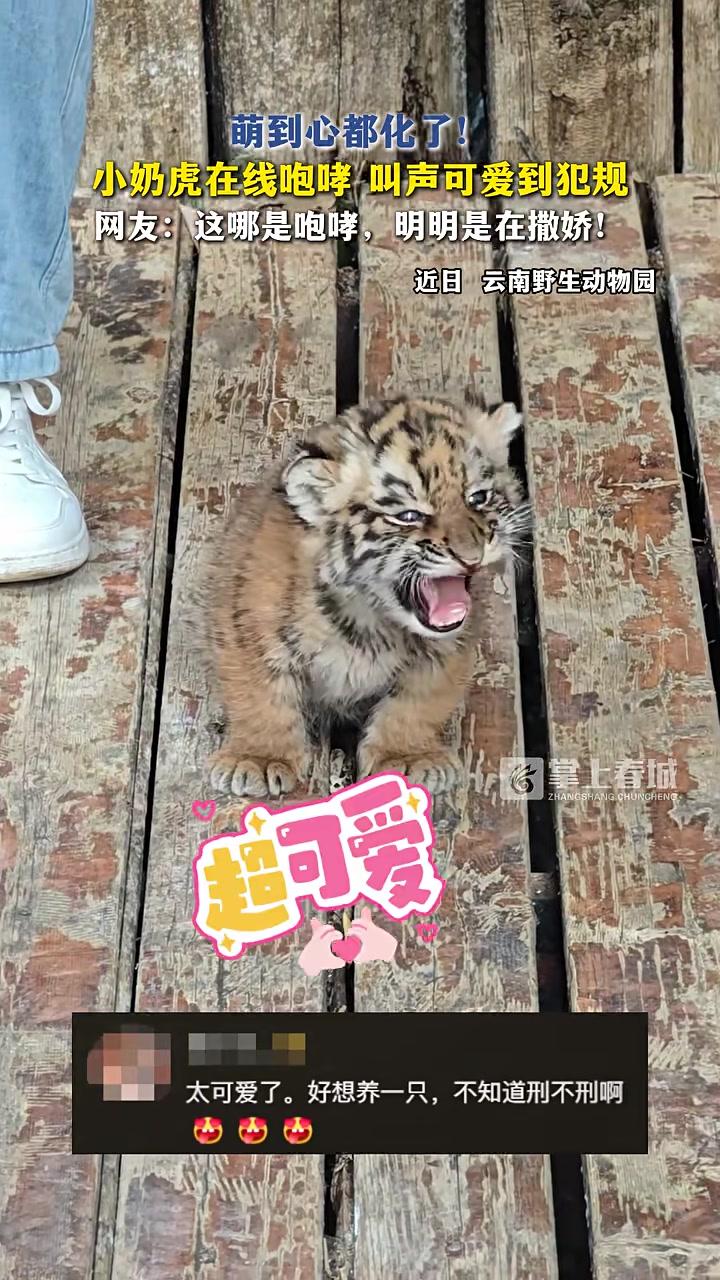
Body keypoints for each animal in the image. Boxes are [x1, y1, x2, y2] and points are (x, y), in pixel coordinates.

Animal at [208, 394, 528, 797]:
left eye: (478, 497)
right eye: (408, 516)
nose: (471, 556)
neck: (370, 614)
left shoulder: (445, 651)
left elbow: (416, 702)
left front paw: (406, 756)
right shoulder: (246, 628)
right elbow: (261, 695)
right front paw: (260, 758)